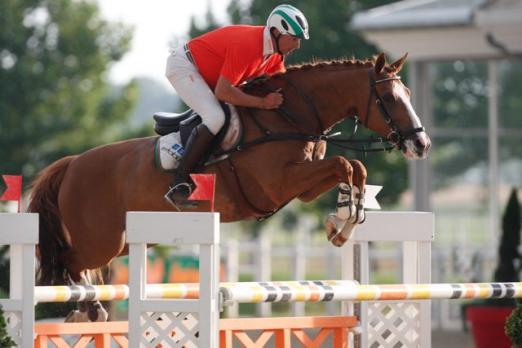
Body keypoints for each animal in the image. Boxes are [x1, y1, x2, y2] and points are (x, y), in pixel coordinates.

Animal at [26, 52, 428, 320]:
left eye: (410, 93)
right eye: (389, 98)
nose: (421, 145)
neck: (288, 115)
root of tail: (72, 163)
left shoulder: (302, 187)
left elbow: (353, 167)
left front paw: (342, 221)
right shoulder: (279, 183)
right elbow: (346, 164)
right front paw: (342, 225)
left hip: (125, 240)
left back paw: (89, 307)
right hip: (102, 240)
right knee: (68, 260)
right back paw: (84, 305)